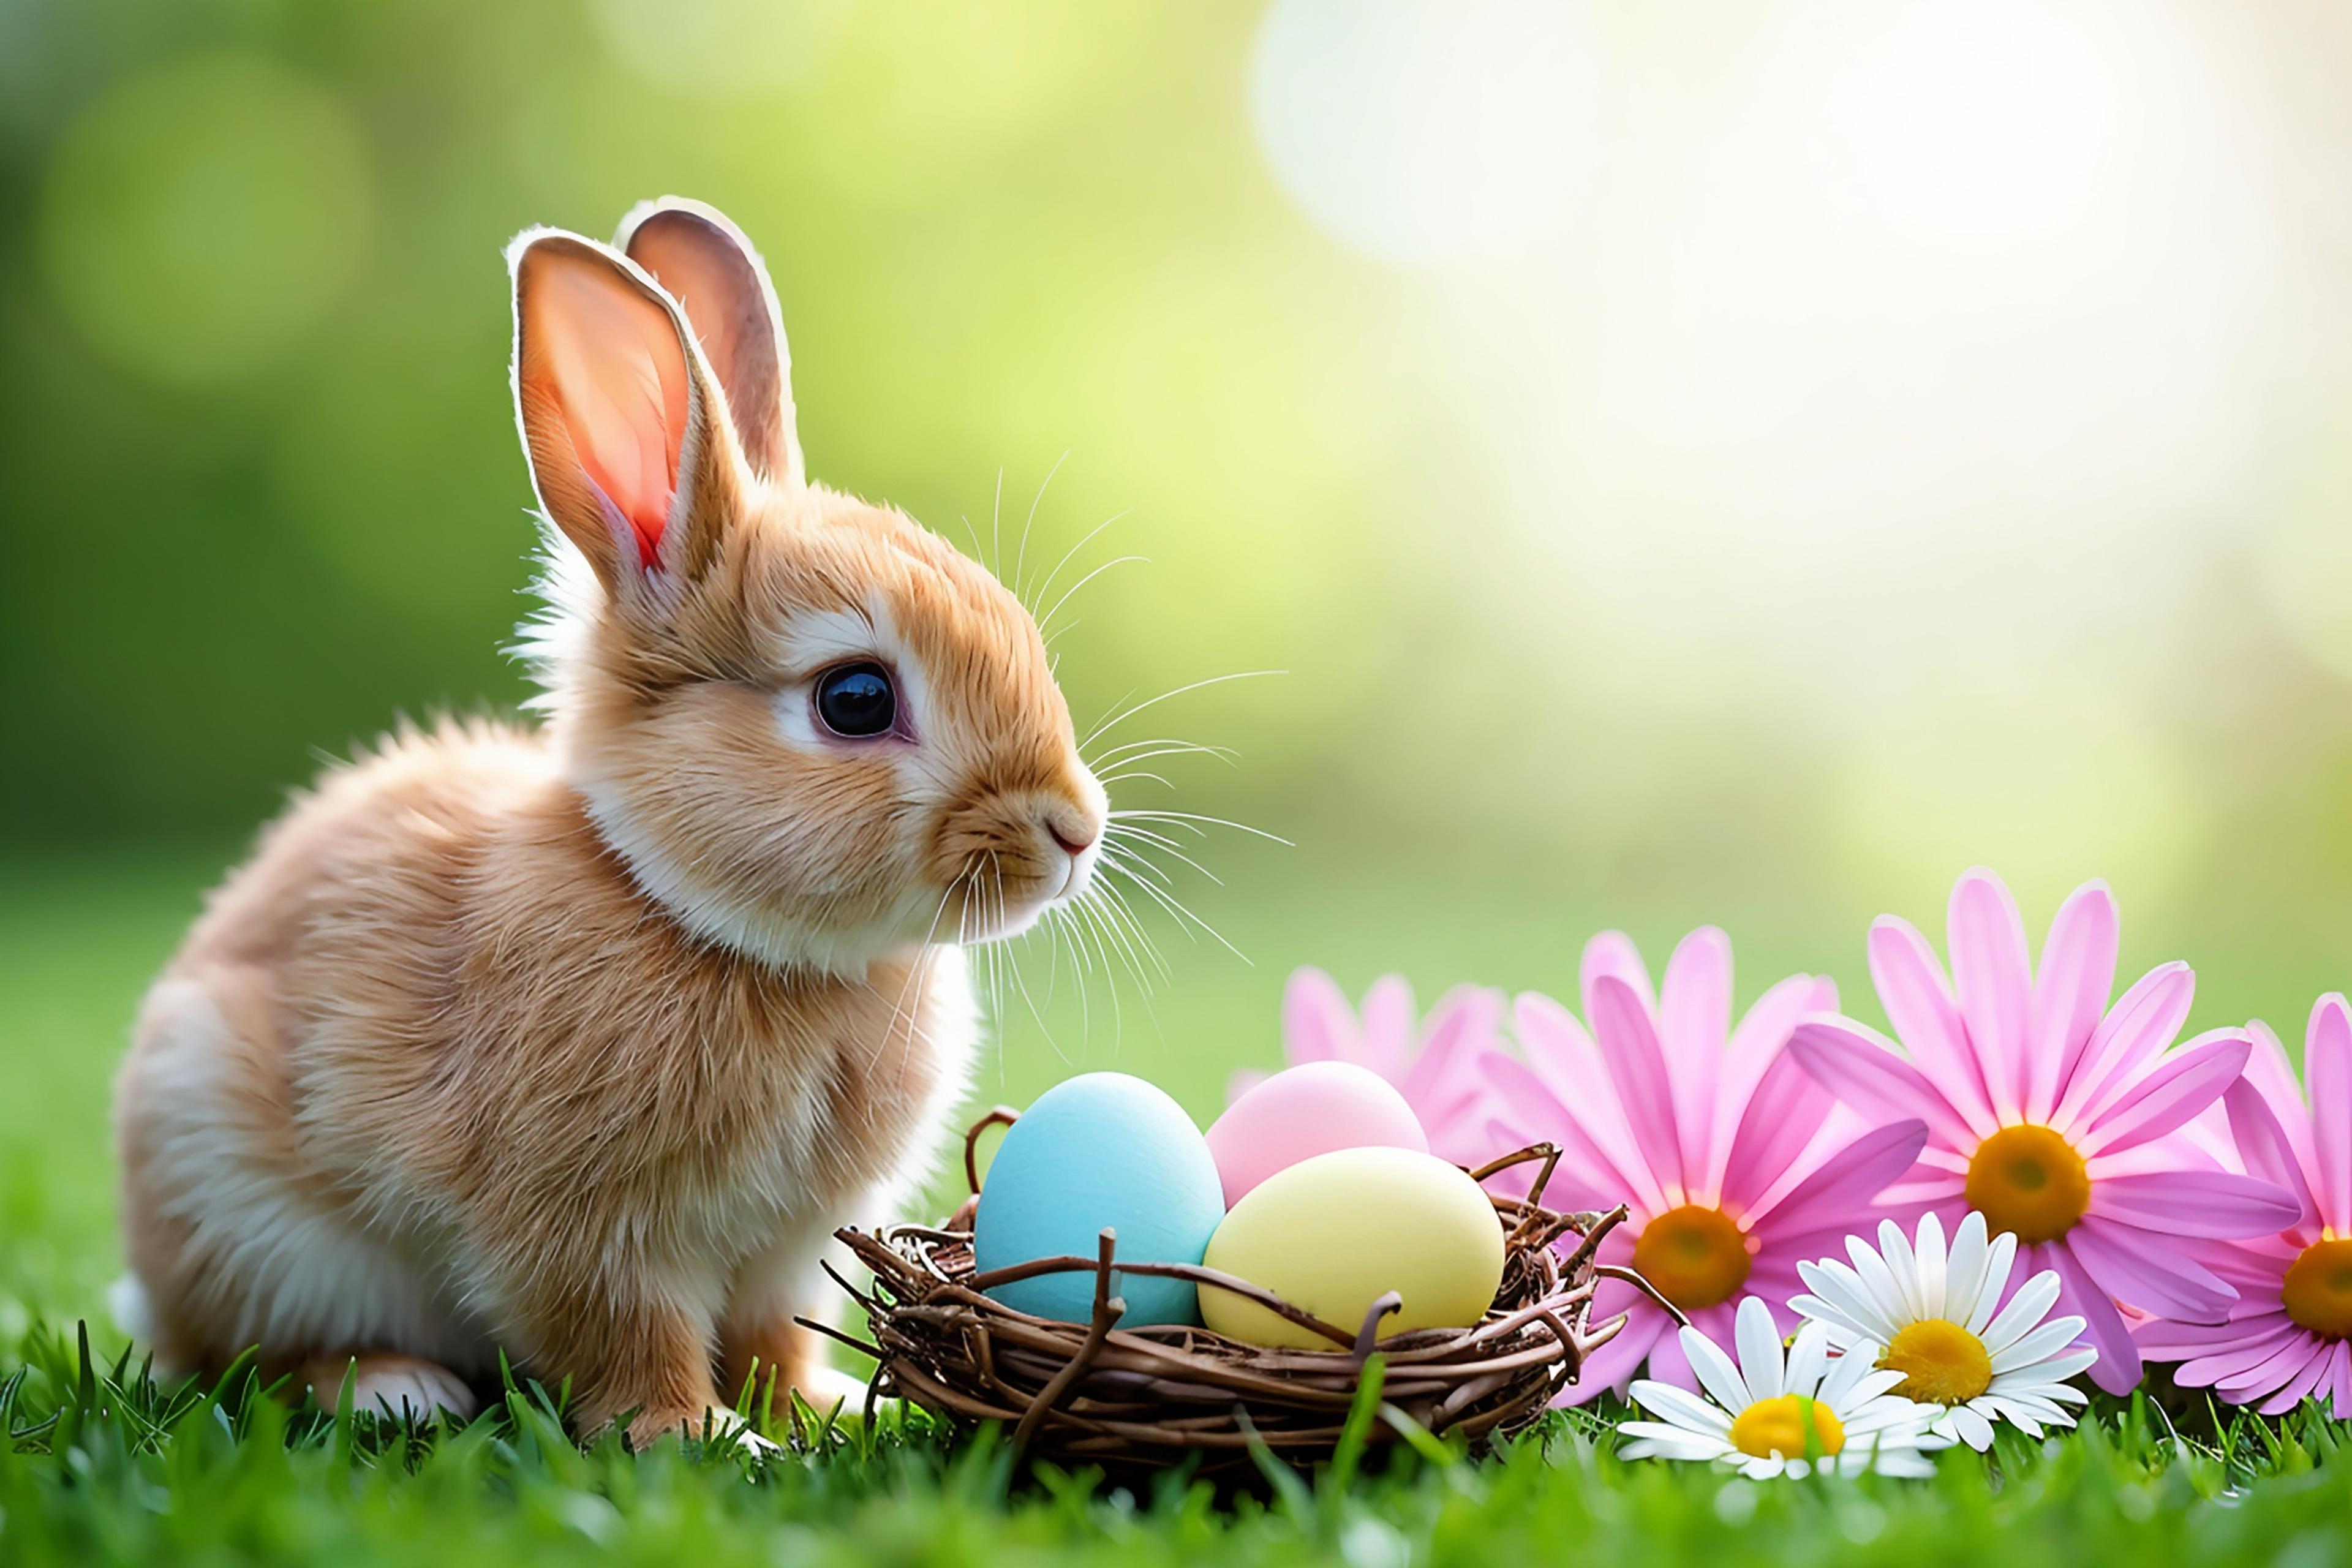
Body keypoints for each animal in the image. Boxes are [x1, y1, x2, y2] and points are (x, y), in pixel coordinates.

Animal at [110, 197, 1107, 1446]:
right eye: (856, 699)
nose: (1075, 831)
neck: (705, 923)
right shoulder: (583, 1228)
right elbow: (625, 1337)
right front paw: (703, 1438)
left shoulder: (783, 1254)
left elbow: (772, 1337)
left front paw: (818, 1415)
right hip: (241, 1205)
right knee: (249, 1360)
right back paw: (394, 1389)